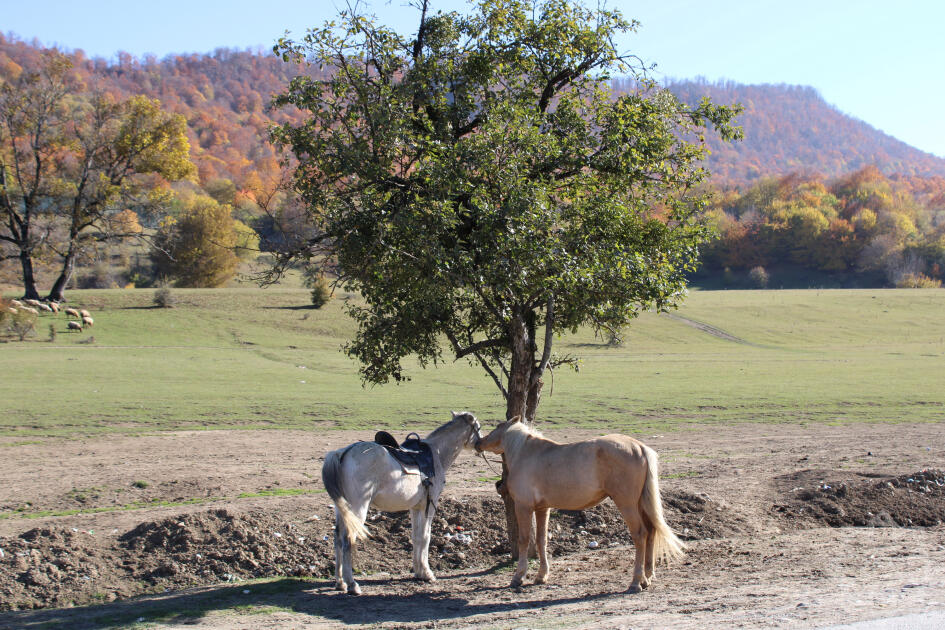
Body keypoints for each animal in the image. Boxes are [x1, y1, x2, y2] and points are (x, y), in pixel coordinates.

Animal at [322, 412, 484, 596]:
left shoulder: (416, 508)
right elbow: (426, 536)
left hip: (341, 509)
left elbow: (416, 537)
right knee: (348, 539)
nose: (481, 444)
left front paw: (419, 571)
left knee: (337, 538)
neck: (436, 453)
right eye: (478, 427)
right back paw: (352, 584)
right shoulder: (429, 505)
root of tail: (341, 453)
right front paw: (427, 573)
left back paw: (340, 582)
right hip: (358, 509)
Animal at [476, 418, 684, 596]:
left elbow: (524, 540)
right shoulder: (543, 509)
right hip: (640, 503)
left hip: (627, 504)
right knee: (651, 531)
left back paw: (635, 582)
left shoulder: (523, 507)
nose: (479, 441)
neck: (526, 453)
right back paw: (646, 577)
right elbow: (541, 540)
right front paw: (541, 576)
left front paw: (518, 576)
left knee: (640, 534)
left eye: (496, 427)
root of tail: (638, 447)